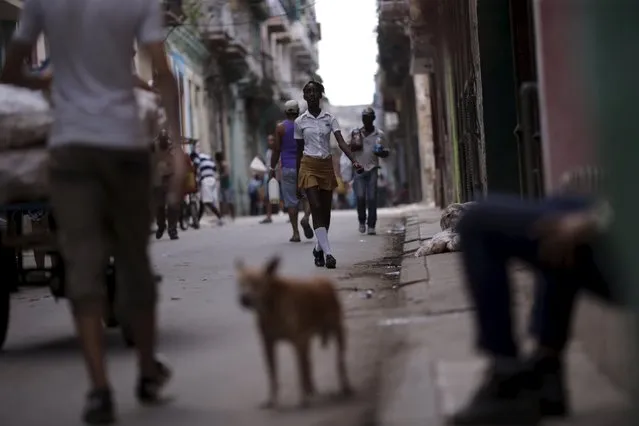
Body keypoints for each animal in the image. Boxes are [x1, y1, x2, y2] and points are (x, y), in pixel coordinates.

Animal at [236, 255, 356, 408]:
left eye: (257, 283)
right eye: (240, 283)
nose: (243, 299)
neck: (272, 307)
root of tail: (325, 283)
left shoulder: (298, 341)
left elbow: (299, 370)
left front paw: (302, 399)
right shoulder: (268, 343)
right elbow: (273, 373)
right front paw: (272, 400)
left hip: (338, 330)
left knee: (339, 361)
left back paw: (344, 387)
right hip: (308, 338)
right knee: (309, 363)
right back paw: (311, 390)